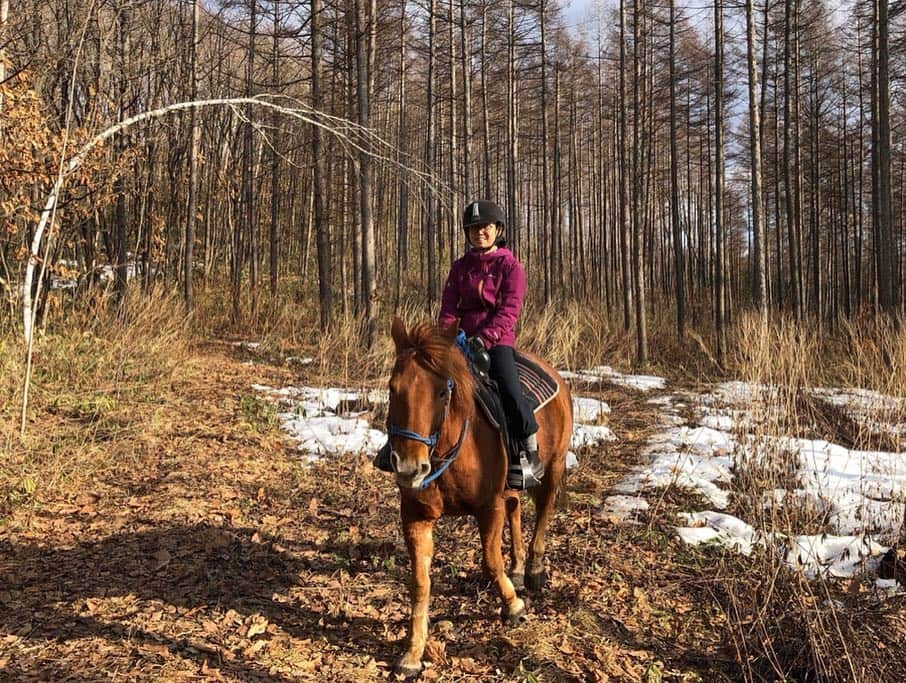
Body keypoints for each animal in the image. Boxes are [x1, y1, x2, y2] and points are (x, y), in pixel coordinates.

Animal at [384, 316, 568, 680]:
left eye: (443, 392)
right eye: (393, 388)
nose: (410, 468)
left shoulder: (488, 507)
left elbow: (490, 560)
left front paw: (513, 606)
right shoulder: (415, 515)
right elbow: (420, 582)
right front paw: (412, 653)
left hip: (554, 466)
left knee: (544, 509)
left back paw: (534, 570)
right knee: (516, 509)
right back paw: (518, 569)